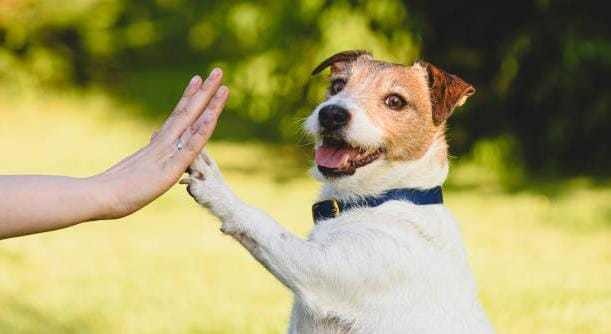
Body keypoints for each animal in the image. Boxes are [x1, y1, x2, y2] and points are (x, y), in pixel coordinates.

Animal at [182, 50, 492, 334]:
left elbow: (262, 223)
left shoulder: (319, 271)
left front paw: (215, 187)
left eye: (395, 101)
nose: (331, 114)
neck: (381, 199)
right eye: (338, 85)